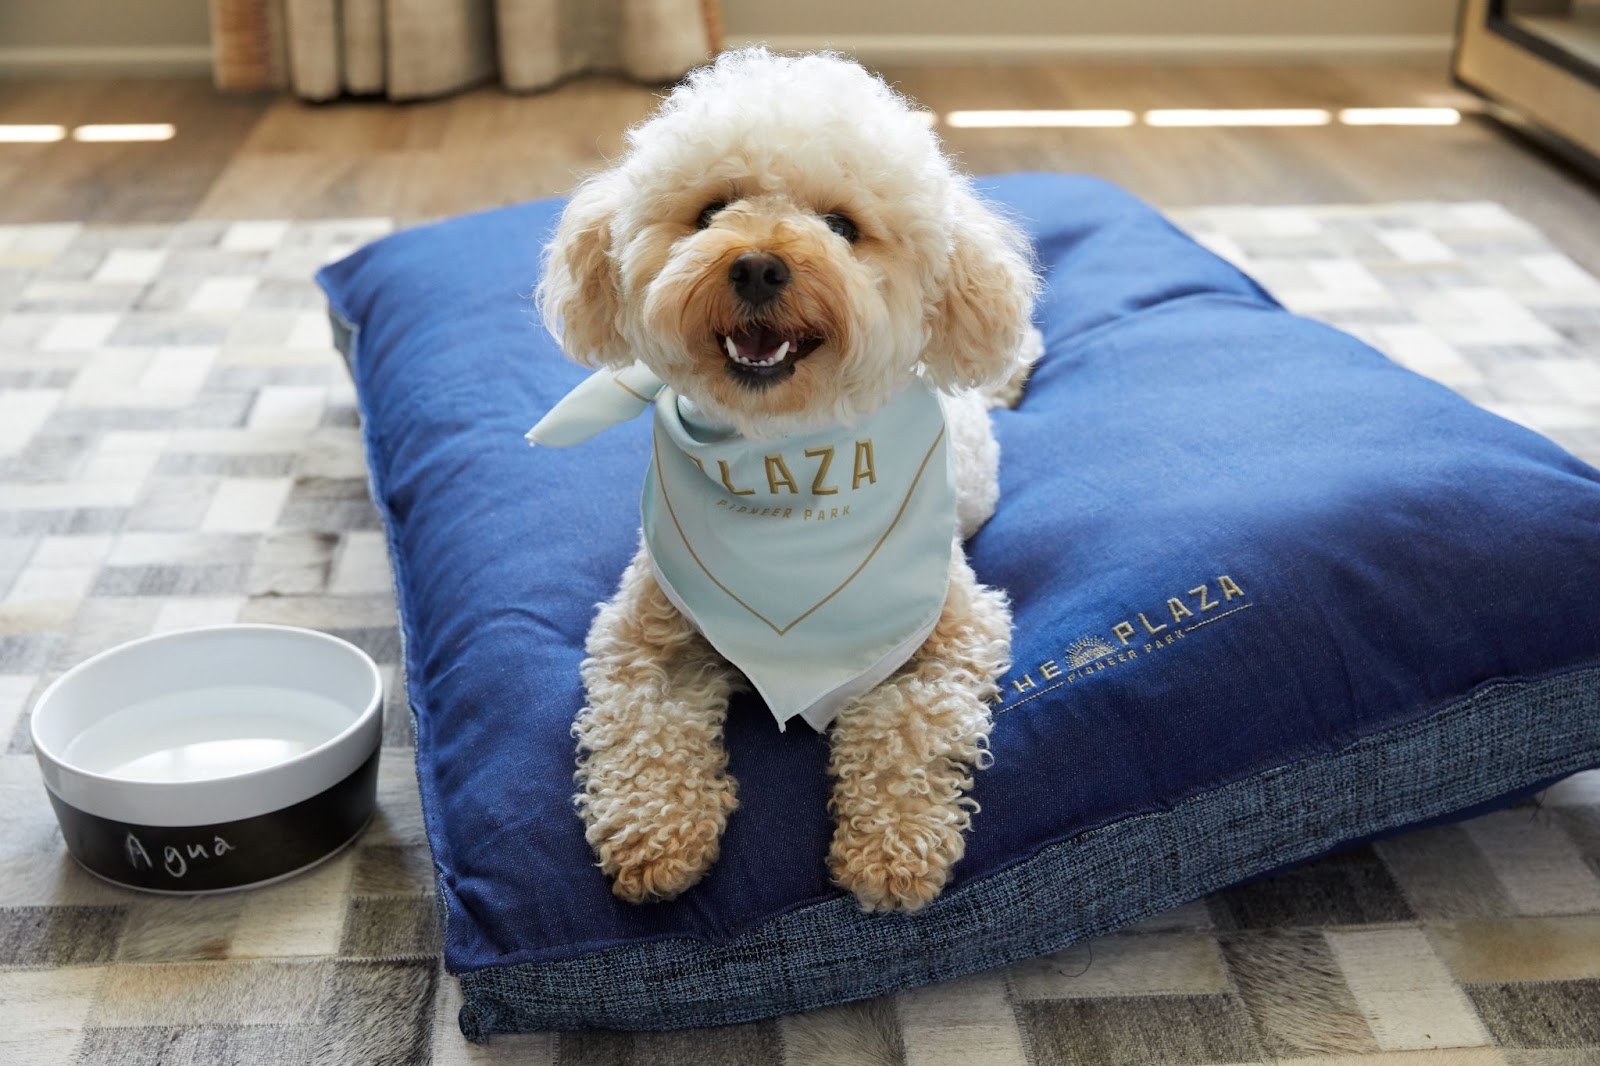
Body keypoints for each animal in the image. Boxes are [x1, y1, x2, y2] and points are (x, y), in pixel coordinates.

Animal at [531, 47, 1043, 915]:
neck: (782, 455)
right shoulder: (645, 635)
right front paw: (653, 833)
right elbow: (642, 725)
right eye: (710, 211)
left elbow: (908, 719)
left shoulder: (951, 629)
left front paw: (890, 851)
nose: (758, 263)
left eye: (842, 226)